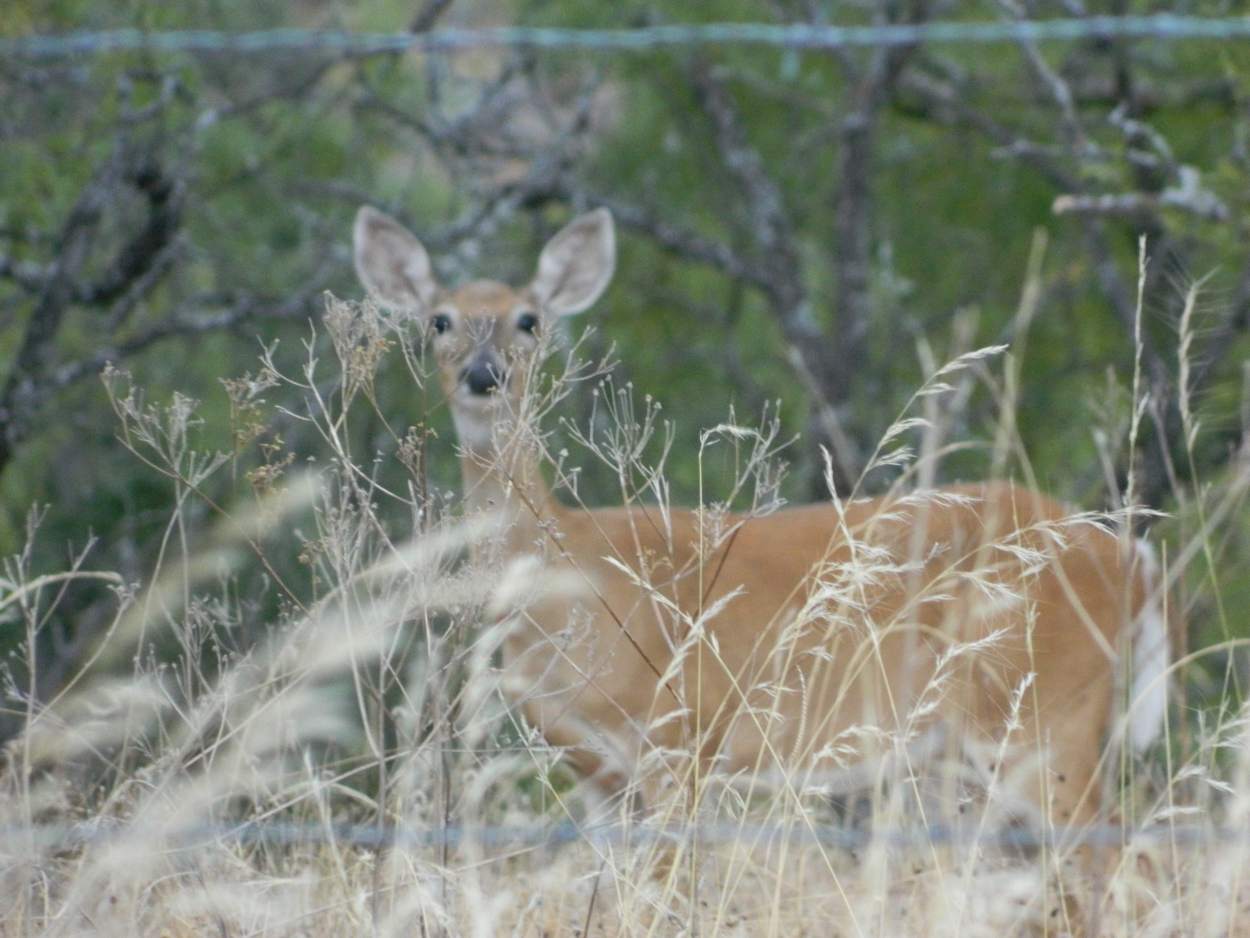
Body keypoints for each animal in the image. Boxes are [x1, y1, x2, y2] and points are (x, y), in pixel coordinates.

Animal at [352, 203, 1170, 850]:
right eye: (439, 320)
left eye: (529, 319)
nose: (484, 374)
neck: (563, 574)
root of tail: (1132, 558)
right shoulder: (592, 769)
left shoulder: (680, 734)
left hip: (1043, 712)